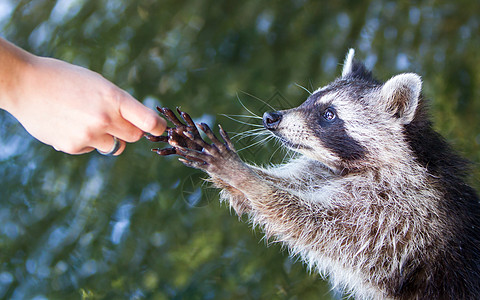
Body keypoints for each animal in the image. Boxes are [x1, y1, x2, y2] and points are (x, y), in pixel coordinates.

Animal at [152, 50, 480, 298]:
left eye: (329, 114)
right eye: (309, 99)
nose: (271, 118)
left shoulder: (399, 215)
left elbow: (316, 225)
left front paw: (244, 177)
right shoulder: (324, 172)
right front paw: (240, 174)